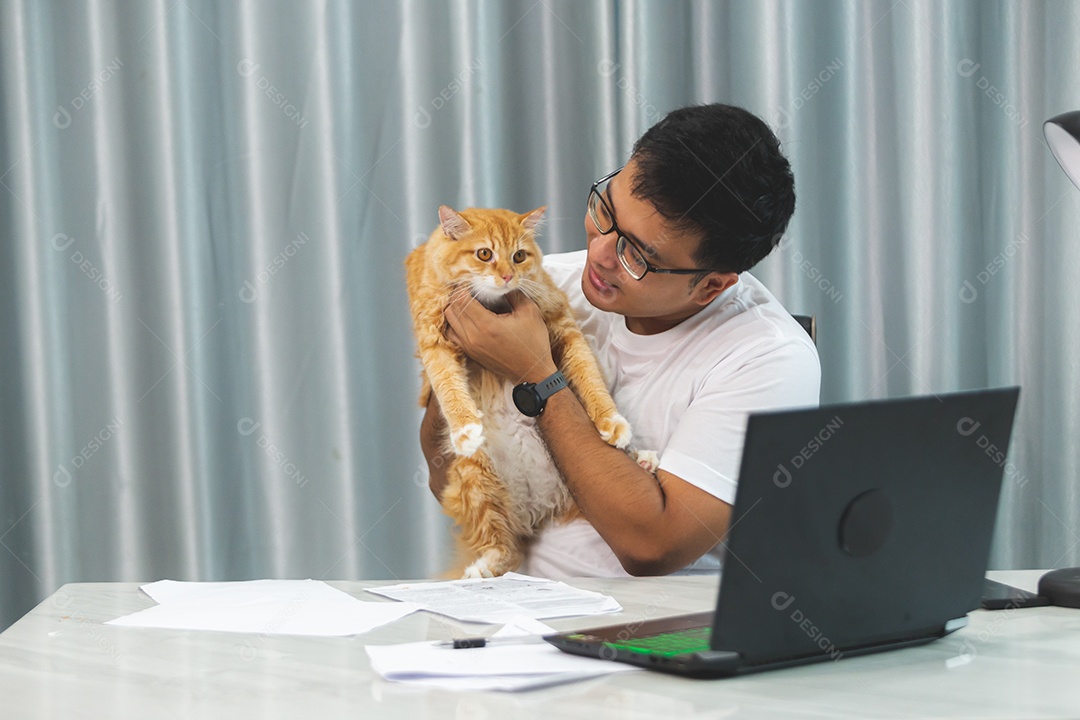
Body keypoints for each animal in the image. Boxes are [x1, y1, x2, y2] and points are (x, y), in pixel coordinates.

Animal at [408, 205, 635, 578]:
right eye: (485, 254)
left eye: (518, 256)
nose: (506, 277)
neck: (494, 305)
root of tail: (535, 507)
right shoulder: (433, 340)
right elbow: (448, 386)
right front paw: (465, 429)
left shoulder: (563, 326)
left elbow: (589, 377)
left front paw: (611, 421)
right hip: (476, 476)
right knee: (505, 546)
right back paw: (484, 567)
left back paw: (644, 459)